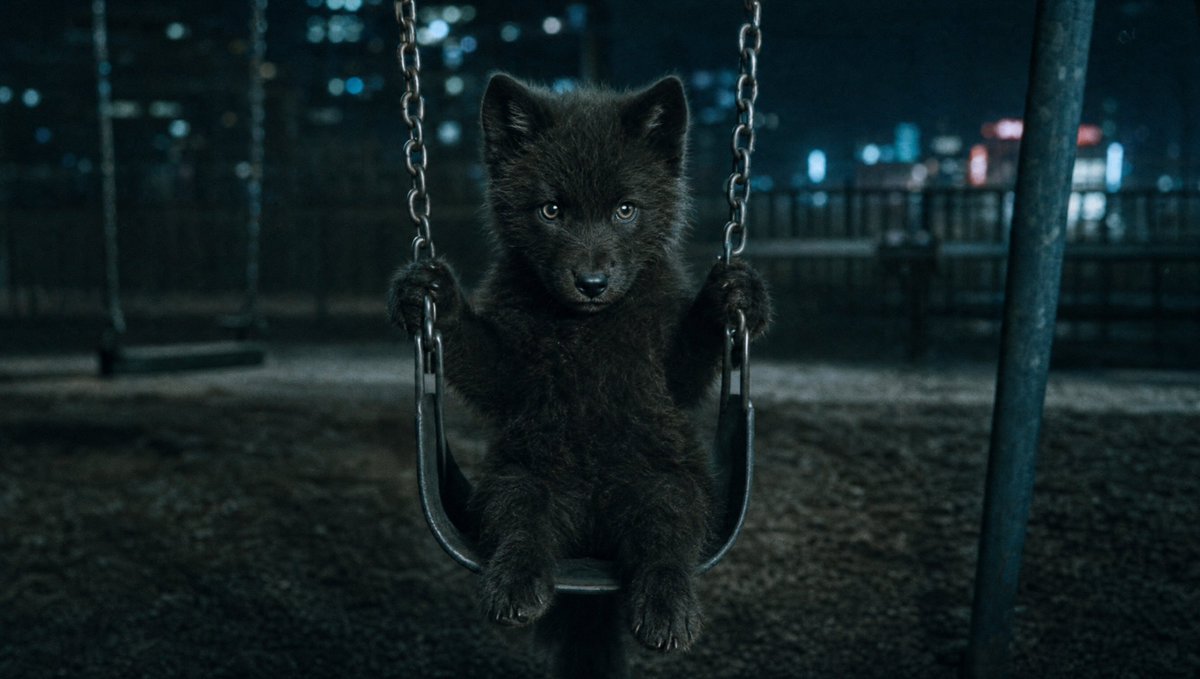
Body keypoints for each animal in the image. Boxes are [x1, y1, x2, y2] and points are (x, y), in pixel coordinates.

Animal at [389, 74, 771, 676]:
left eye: (625, 209)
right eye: (551, 210)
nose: (592, 282)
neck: (588, 328)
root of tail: (591, 535)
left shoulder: (666, 368)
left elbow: (691, 362)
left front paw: (735, 297)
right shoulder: (513, 370)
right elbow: (481, 361)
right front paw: (429, 294)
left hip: (665, 482)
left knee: (667, 540)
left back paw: (666, 610)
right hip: (522, 476)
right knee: (521, 525)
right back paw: (516, 585)